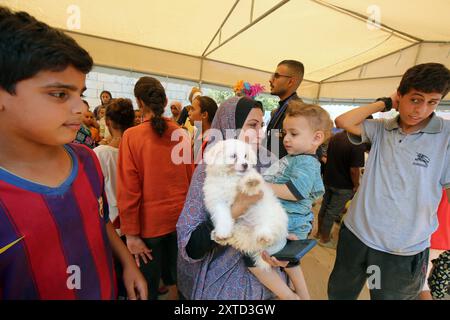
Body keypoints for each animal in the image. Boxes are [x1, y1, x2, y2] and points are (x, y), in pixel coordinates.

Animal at [202, 139, 286, 268]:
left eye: (246, 156)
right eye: (234, 156)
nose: (245, 165)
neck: (230, 176)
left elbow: (249, 181)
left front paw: (250, 181)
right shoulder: (218, 202)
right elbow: (223, 217)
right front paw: (223, 232)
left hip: (269, 215)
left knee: (267, 227)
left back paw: (264, 235)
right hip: (242, 231)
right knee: (242, 240)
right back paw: (220, 238)